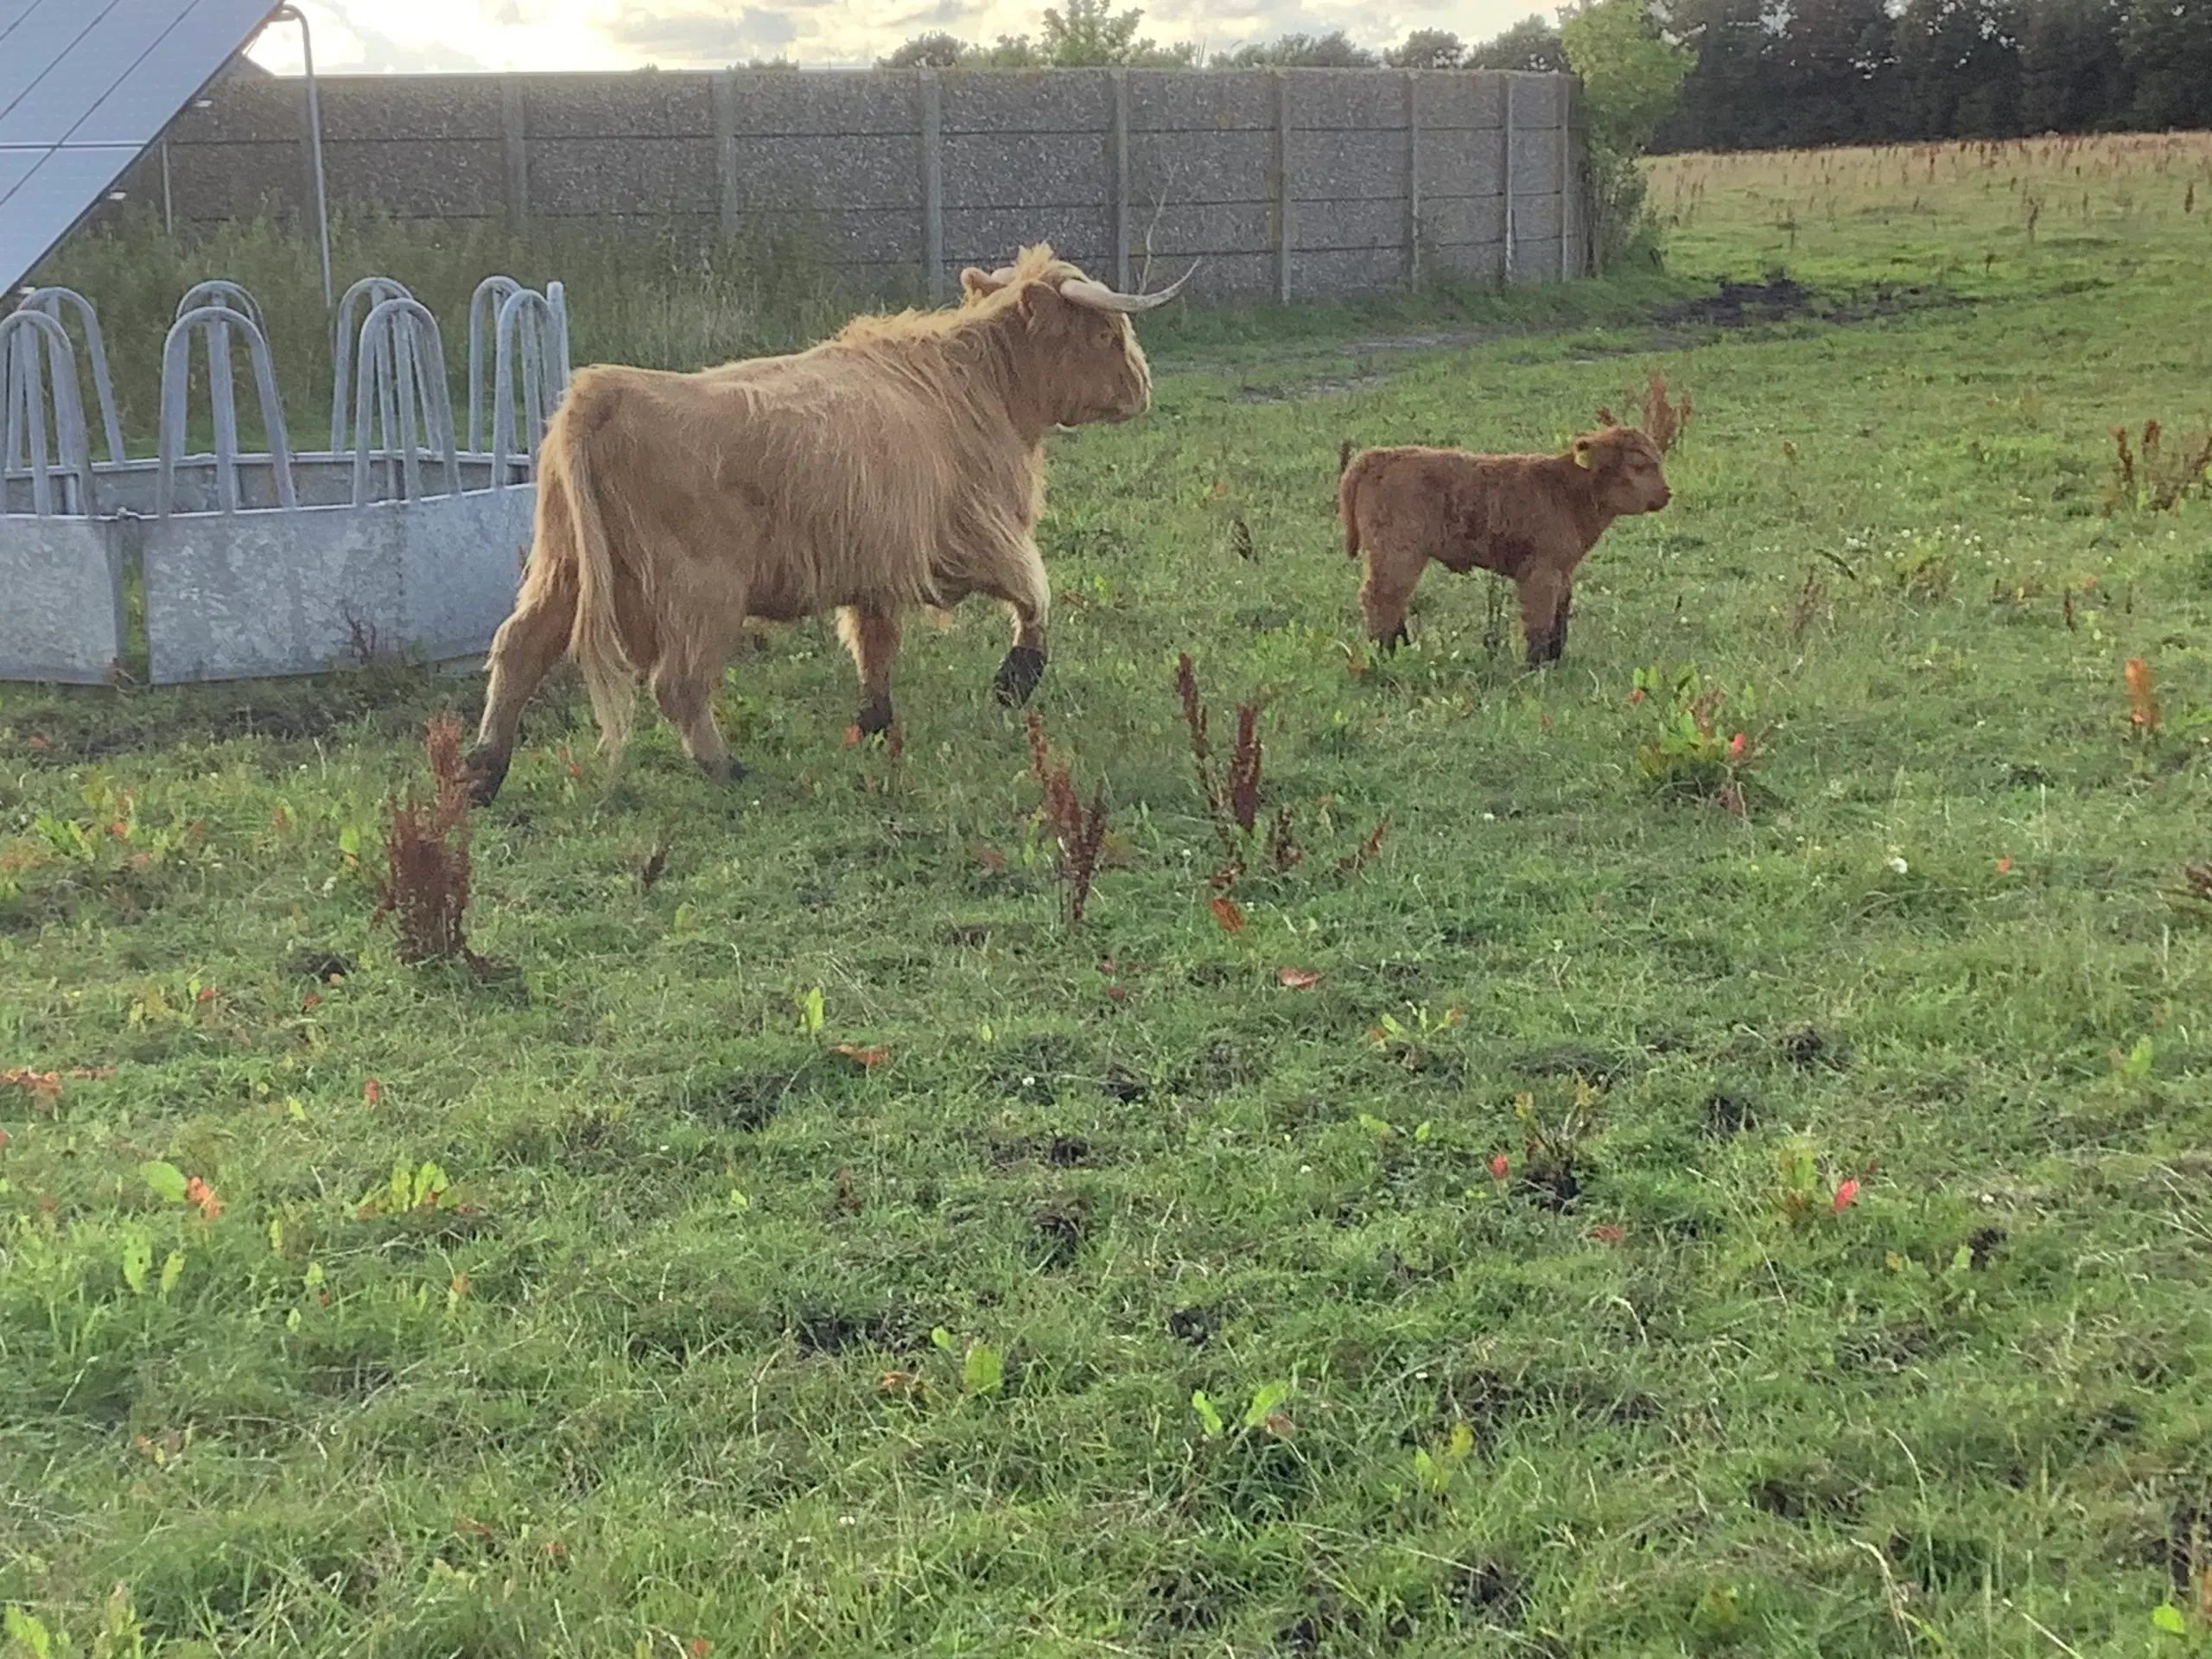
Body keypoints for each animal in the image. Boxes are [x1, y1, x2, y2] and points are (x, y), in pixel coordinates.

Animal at [1327, 424, 1672, 672]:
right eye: (1640, 464)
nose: (1667, 493)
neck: (1566, 491)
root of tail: (1379, 455)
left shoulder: (1562, 570)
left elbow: (1559, 616)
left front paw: (1555, 658)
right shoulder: (1540, 572)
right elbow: (1539, 620)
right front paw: (1536, 666)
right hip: (1398, 552)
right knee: (1381, 597)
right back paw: (1386, 653)